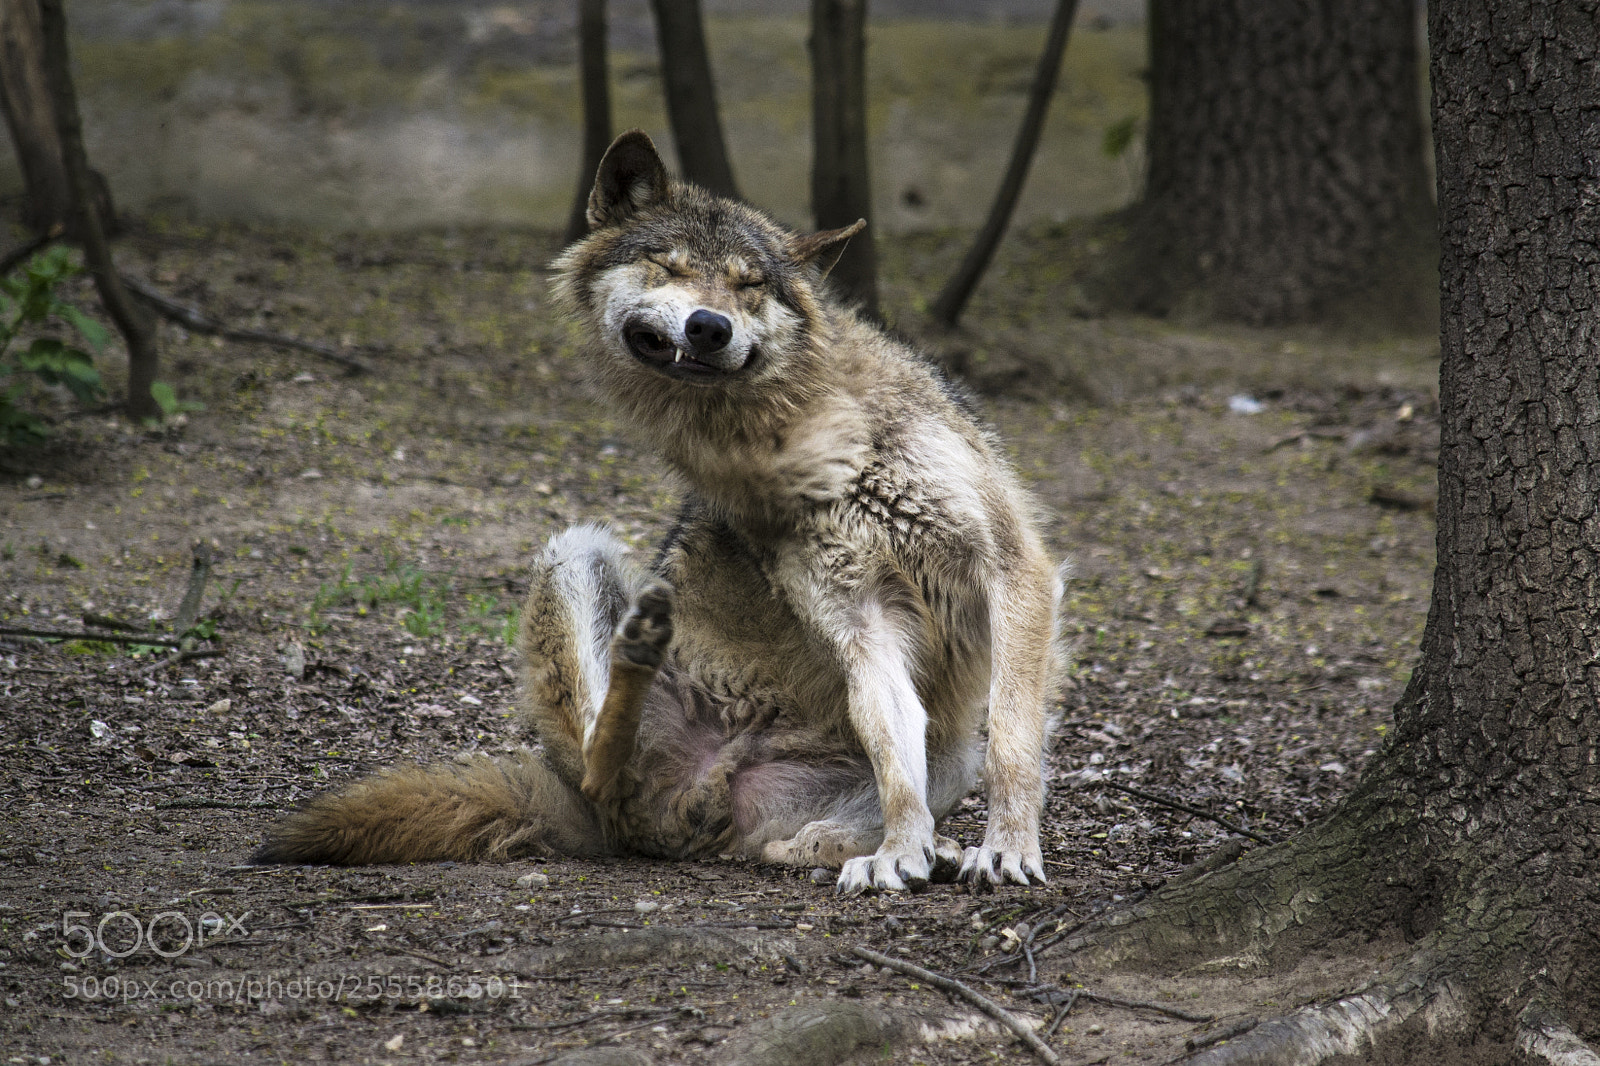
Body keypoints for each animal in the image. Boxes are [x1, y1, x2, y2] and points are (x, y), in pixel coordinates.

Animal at [255, 131, 1066, 893]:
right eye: (668, 268)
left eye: (749, 286)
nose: (709, 326)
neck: (805, 434)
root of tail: (678, 802)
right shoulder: (857, 617)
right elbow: (898, 762)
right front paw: (905, 851)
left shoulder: (1012, 568)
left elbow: (1011, 740)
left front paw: (999, 848)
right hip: (574, 553)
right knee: (595, 762)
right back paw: (641, 661)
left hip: (945, 755)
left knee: (792, 837)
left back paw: (911, 849)